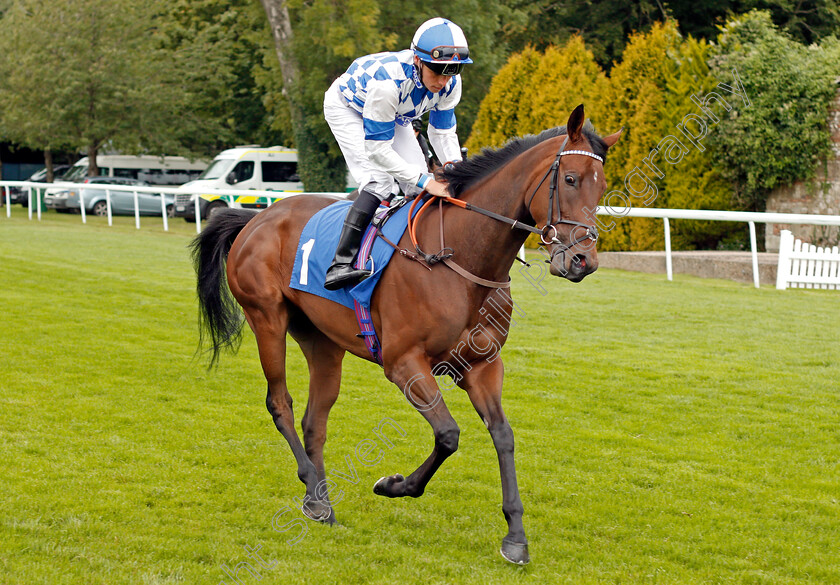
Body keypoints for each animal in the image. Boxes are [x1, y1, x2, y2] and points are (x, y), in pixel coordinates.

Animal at [194, 104, 620, 560]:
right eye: (571, 179)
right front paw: (394, 484)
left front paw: (515, 536)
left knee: (314, 419)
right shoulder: (404, 363)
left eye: (603, 186)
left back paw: (319, 500)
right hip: (267, 319)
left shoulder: (482, 364)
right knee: (280, 404)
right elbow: (448, 435)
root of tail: (256, 217)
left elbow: (503, 436)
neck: (460, 256)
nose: (583, 261)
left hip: (321, 341)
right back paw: (313, 492)